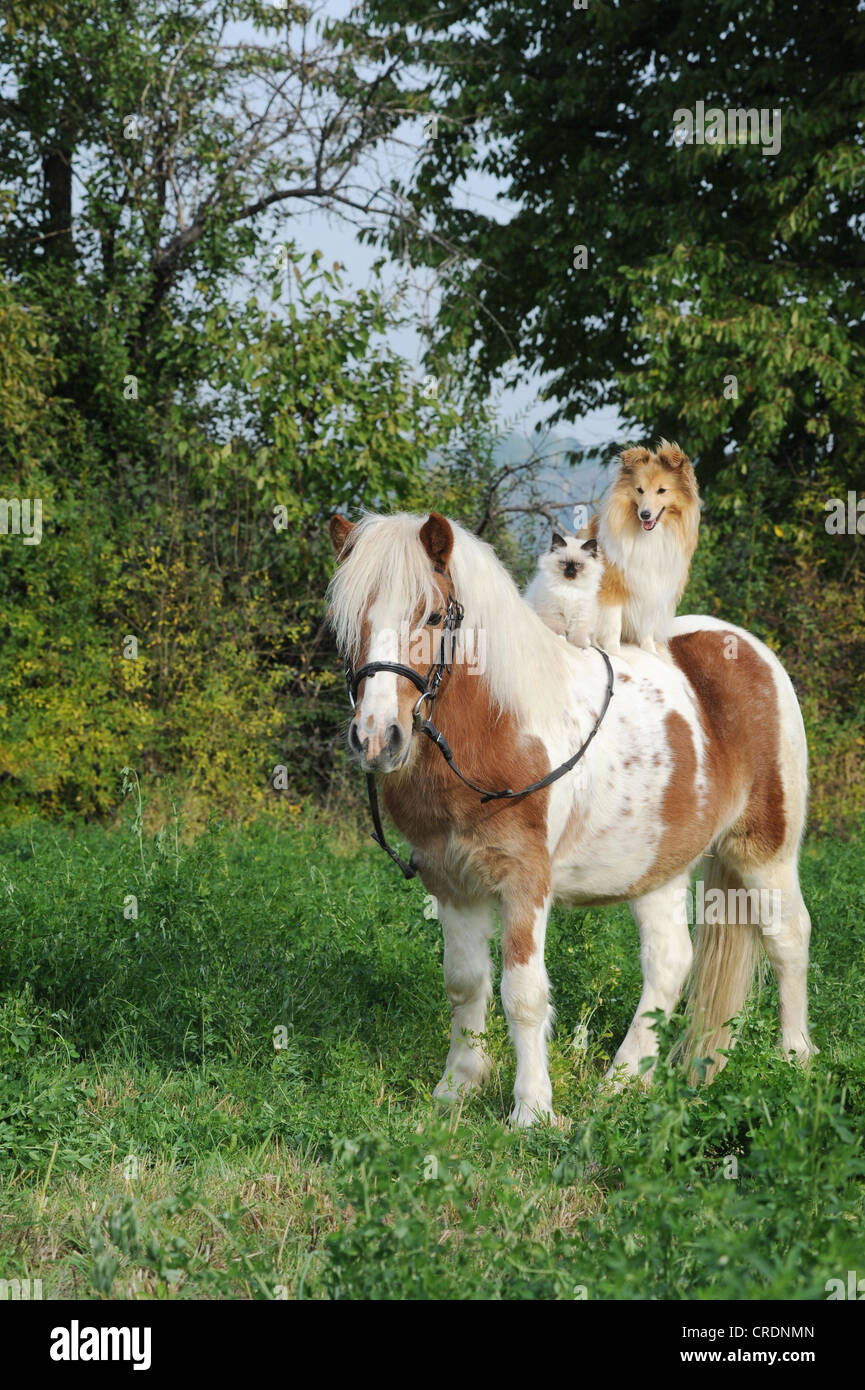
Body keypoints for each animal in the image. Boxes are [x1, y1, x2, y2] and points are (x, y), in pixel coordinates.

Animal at [328, 511, 817, 1128]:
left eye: (434, 615)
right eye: (348, 625)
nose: (376, 738)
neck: (498, 728)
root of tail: (750, 649)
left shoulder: (524, 882)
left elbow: (523, 993)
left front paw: (531, 1111)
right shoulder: (451, 882)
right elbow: (464, 984)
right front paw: (455, 1090)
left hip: (764, 849)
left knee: (788, 939)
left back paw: (795, 1059)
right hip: (657, 866)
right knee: (669, 961)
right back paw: (623, 1083)